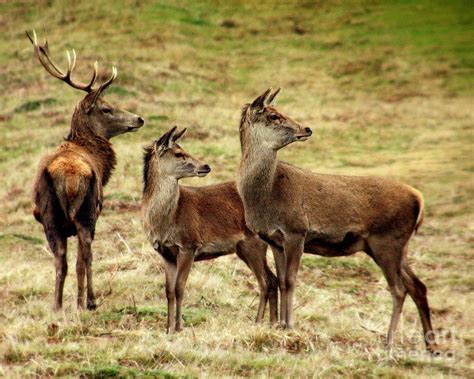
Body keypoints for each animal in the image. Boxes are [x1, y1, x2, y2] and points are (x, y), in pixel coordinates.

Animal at [25, 31, 143, 310]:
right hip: (87, 211)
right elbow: (86, 258)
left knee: (60, 260)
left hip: (49, 214)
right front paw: (88, 300)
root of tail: (69, 178)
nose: (139, 118)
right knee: (84, 256)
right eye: (107, 108)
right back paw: (86, 301)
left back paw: (57, 306)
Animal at [141, 127, 278, 332]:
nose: (205, 166)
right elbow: (169, 291)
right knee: (273, 279)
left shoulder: (189, 245)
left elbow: (180, 288)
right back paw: (274, 323)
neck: (167, 221)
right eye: (179, 153)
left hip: (253, 243)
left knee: (265, 282)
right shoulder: (165, 253)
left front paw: (179, 328)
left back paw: (258, 322)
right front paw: (168, 329)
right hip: (244, 248)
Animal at [237, 89, 436, 354]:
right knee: (417, 285)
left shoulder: (297, 231)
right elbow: (281, 282)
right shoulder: (275, 240)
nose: (306, 128)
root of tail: (419, 198)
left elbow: (290, 280)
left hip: (387, 241)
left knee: (399, 289)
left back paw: (389, 342)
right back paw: (431, 345)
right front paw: (279, 326)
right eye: (273, 116)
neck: (266, 197)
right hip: (393, 246)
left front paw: (290, 327)